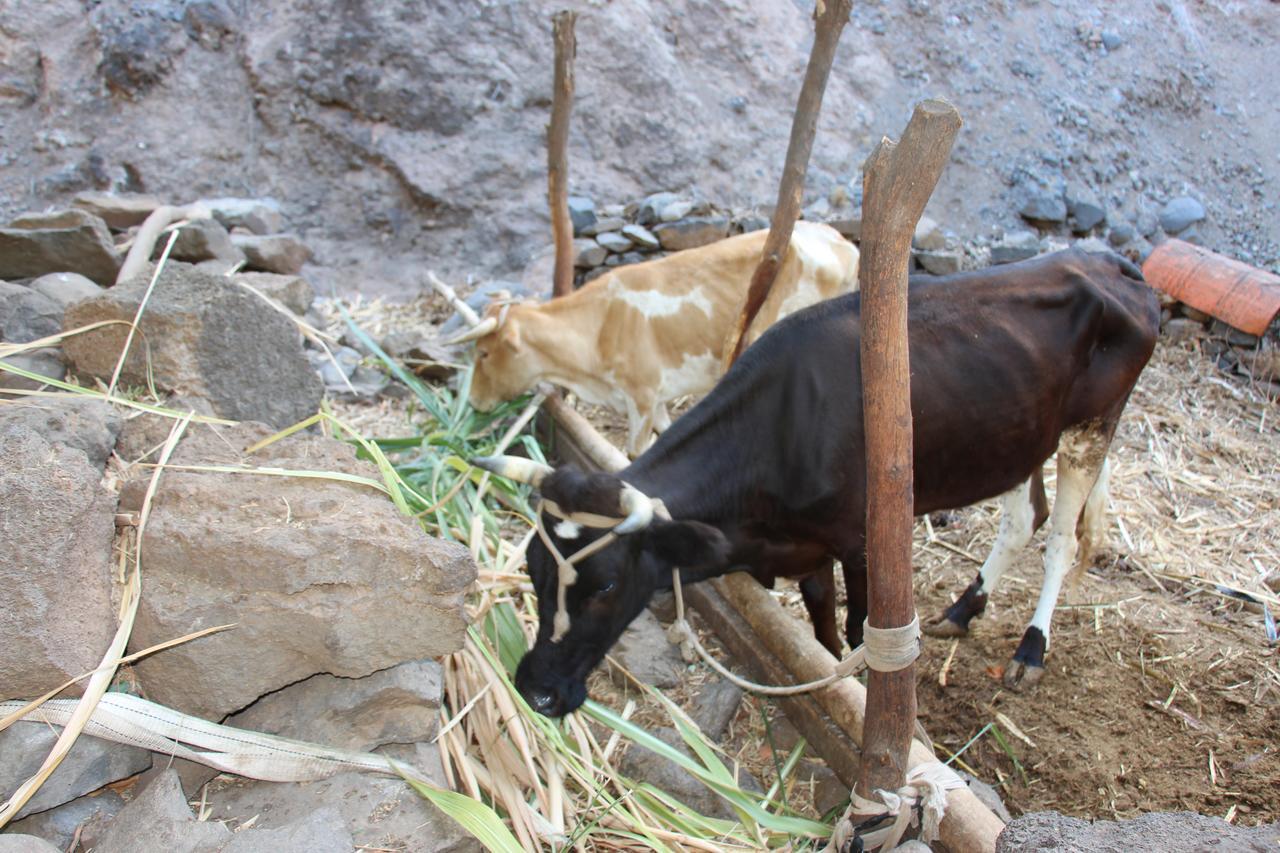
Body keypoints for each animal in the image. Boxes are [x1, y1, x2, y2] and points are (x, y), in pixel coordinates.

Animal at [478, 249, 1162, 712]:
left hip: (1092, 427)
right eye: (534, 570)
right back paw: (962, 610)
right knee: (1025, 520)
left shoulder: (859, 542)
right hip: (1018, 435)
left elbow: (860, 631)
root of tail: (1108, 260)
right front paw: (834, 677)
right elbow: (823, 633)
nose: (535, 689)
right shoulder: (806, 550)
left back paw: (1029, 650)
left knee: (1062, 541)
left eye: (606, 585)